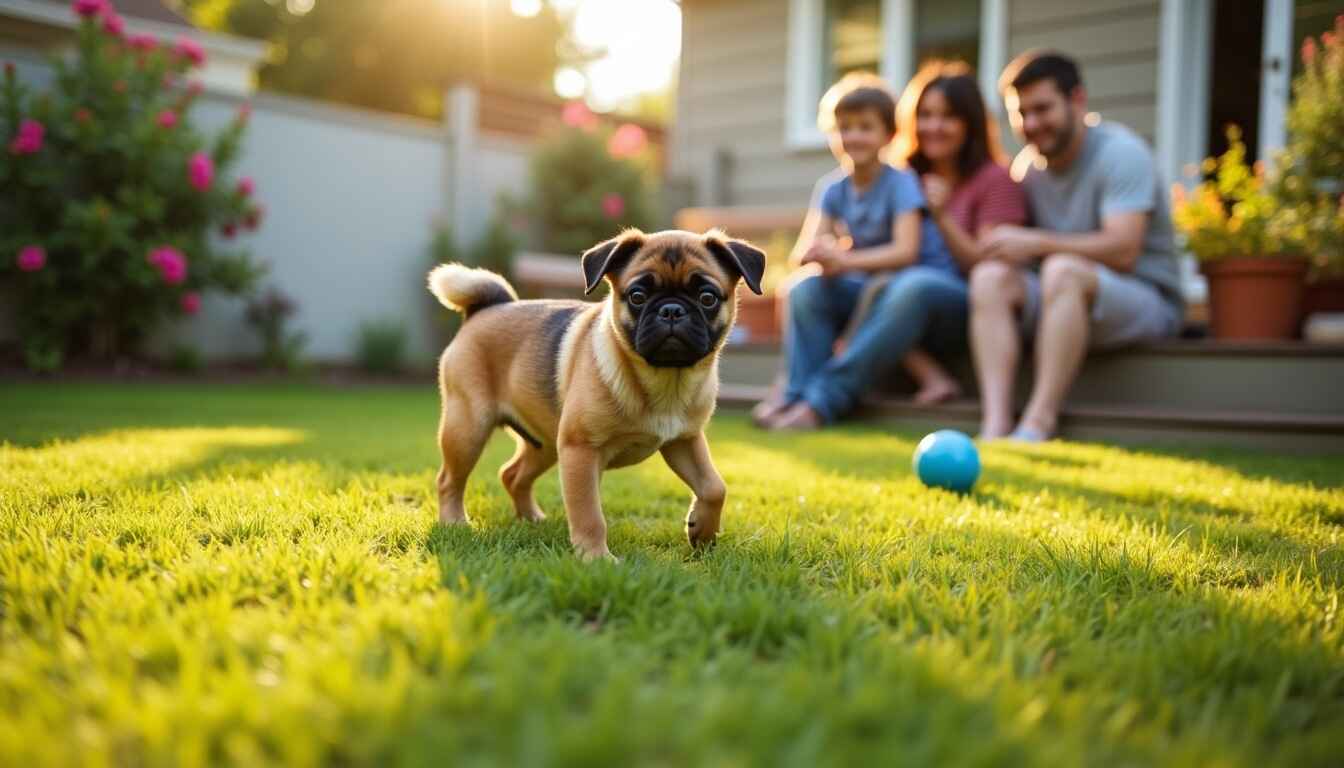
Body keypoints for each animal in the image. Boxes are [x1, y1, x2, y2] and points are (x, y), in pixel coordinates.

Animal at [430, 227, 768, 559]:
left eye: (707, 297)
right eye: (637, 296)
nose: (672, 310)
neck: (665, 379)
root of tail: (488, 307)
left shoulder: (684, 440)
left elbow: (714, 487)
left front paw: (702, 531)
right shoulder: (581, 451)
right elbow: (589, 513)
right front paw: (596, 559)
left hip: (546, 444)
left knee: (512, 474)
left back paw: (532, 519)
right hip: (468, 429)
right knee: (449, 480)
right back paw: (455, 522)